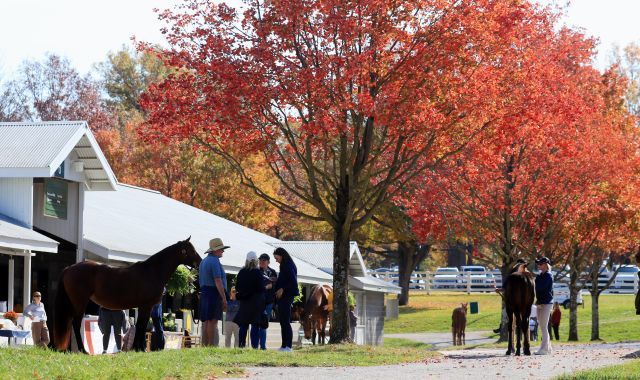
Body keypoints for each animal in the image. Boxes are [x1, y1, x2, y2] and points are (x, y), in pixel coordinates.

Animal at [54, 236, 200, 352]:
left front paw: (137, 348)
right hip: (80, 302)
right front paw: (140, 348)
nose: (199, 262)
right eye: (191, 250)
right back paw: (83, 350)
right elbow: (141, 326)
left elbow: (140, 326)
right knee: (76, 323)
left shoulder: (144, 307)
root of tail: (69, 269)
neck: (152, 271)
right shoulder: (146, 306)